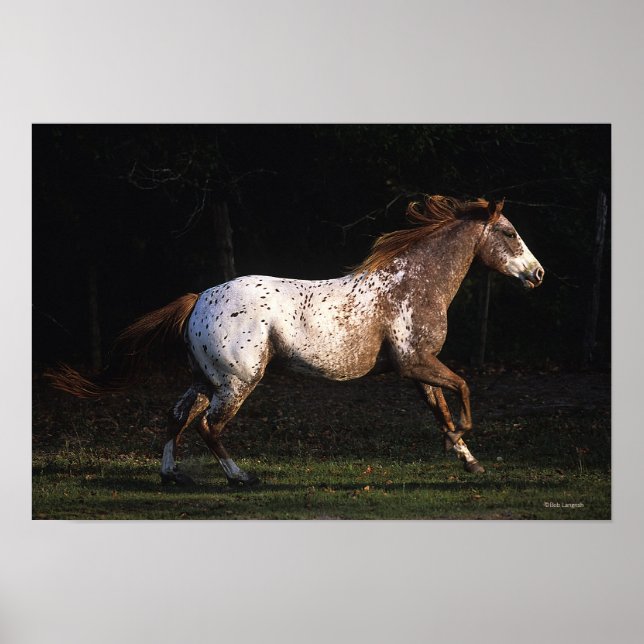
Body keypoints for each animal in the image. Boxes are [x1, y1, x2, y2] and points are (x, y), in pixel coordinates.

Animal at [47, 195, 544, 486]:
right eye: (509, 233)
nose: (538, 274)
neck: (413, 284)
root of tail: (200, 298)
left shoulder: (419, 367)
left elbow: (440, 407)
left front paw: (467, 458)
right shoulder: (414, 362)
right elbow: (463, 388)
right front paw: (461, 439)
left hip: (204, 379)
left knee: (176, 416)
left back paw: (172, 475)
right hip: (237, 382)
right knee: (209, 426)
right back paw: (241, 477)